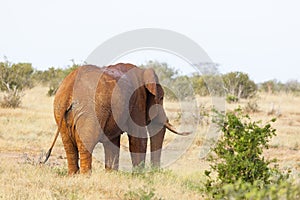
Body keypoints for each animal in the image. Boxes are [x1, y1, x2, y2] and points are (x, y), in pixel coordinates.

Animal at [44, 63, 190, 174]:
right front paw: (139, 176)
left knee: (68, 146)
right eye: (161, 98)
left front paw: (111, 174)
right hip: (90, 112)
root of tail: (68, 90)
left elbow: (112, 142)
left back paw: (73, 175)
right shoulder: (137, 101)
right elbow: (138, 137)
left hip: (59, 110)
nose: (154, 172)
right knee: (86, 144)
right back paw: (86, 177)